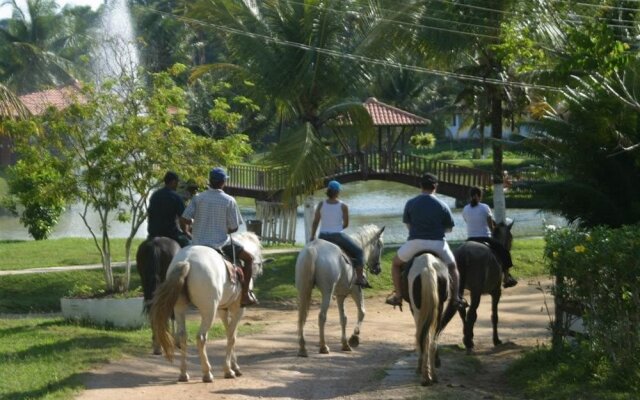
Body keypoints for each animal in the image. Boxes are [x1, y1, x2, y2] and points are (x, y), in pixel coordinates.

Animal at [296, 223, 384, 358]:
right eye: (380, 245)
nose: (378, 269)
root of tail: (313, 249)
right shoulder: (356, 290)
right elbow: (362, 312)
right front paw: (354, 337)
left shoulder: (340, 295)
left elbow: (343, 319)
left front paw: (345, 344)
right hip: (327, 292)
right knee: (322, 316)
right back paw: (323, 346)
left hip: (303, 290)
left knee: (302, 316)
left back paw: (302, 348)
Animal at [404, 252, 450, 386]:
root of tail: (428, 267)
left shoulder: (414, 310)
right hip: (439, 309)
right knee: (433, 340)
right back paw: (433, 376)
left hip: (417, 310)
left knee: (423, 338)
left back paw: (425, 376)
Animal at [450, 220, 516, 354]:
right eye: (511, 237)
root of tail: (464, 252)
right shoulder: (496, 292)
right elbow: (494, 316)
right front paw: (496, 340)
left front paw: (469, 334)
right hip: (476, 291)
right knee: (471, 313)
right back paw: (469, 342)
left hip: (461, 288)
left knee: (462, 310)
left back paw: (467, 337)